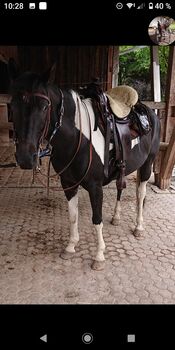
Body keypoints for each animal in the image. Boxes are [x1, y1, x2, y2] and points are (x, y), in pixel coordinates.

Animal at [9, 68, 160, 270]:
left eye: (44, 107)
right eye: (12, 106)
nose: (26, 158)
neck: (76, 139)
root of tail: (149, 111)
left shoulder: (95, 187)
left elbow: (97, 219)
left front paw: (99, 256)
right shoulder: (68, 184)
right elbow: (73, 216)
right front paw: (70, 247)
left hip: (147, 164)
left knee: (140, 194)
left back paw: (138, 227)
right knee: (120, 188)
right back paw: (116, 217)